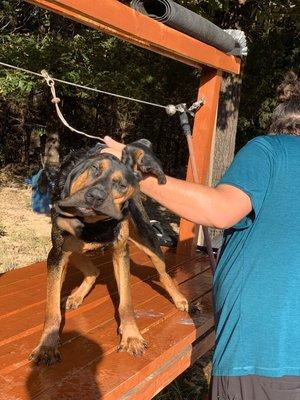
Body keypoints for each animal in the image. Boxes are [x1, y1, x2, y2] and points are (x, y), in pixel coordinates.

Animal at [28, 139, 188, 364]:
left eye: (121, 185)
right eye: (94, 169)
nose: (95, 197)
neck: (93, 224)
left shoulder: (121, 253)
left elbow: (126, 303)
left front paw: (131, 336)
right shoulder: (57, 255)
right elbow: (52, 309)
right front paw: (47, 346)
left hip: (147, 239)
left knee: (163, 272)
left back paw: (179, 298)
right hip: (73, 252)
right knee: (93, 271)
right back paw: (76, 296)